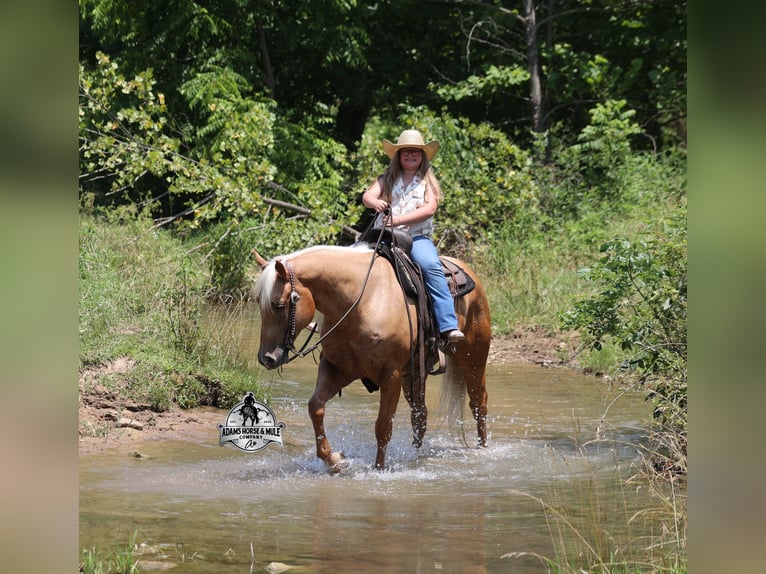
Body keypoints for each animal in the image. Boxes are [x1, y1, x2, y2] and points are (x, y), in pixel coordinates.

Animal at [251, 243, 491, 472]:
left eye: (278, 305)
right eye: (259, 304)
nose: (267, 358)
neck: (361, 302)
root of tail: (469, 271)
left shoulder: (391, 376)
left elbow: (383, 426)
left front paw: (378, 469)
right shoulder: (337, 368)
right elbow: (315, 407)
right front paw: (335, 461)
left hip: (472, 358)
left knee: (478, 402)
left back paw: (482, 449)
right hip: (413, 374)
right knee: (420, 415)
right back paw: (415, 455)